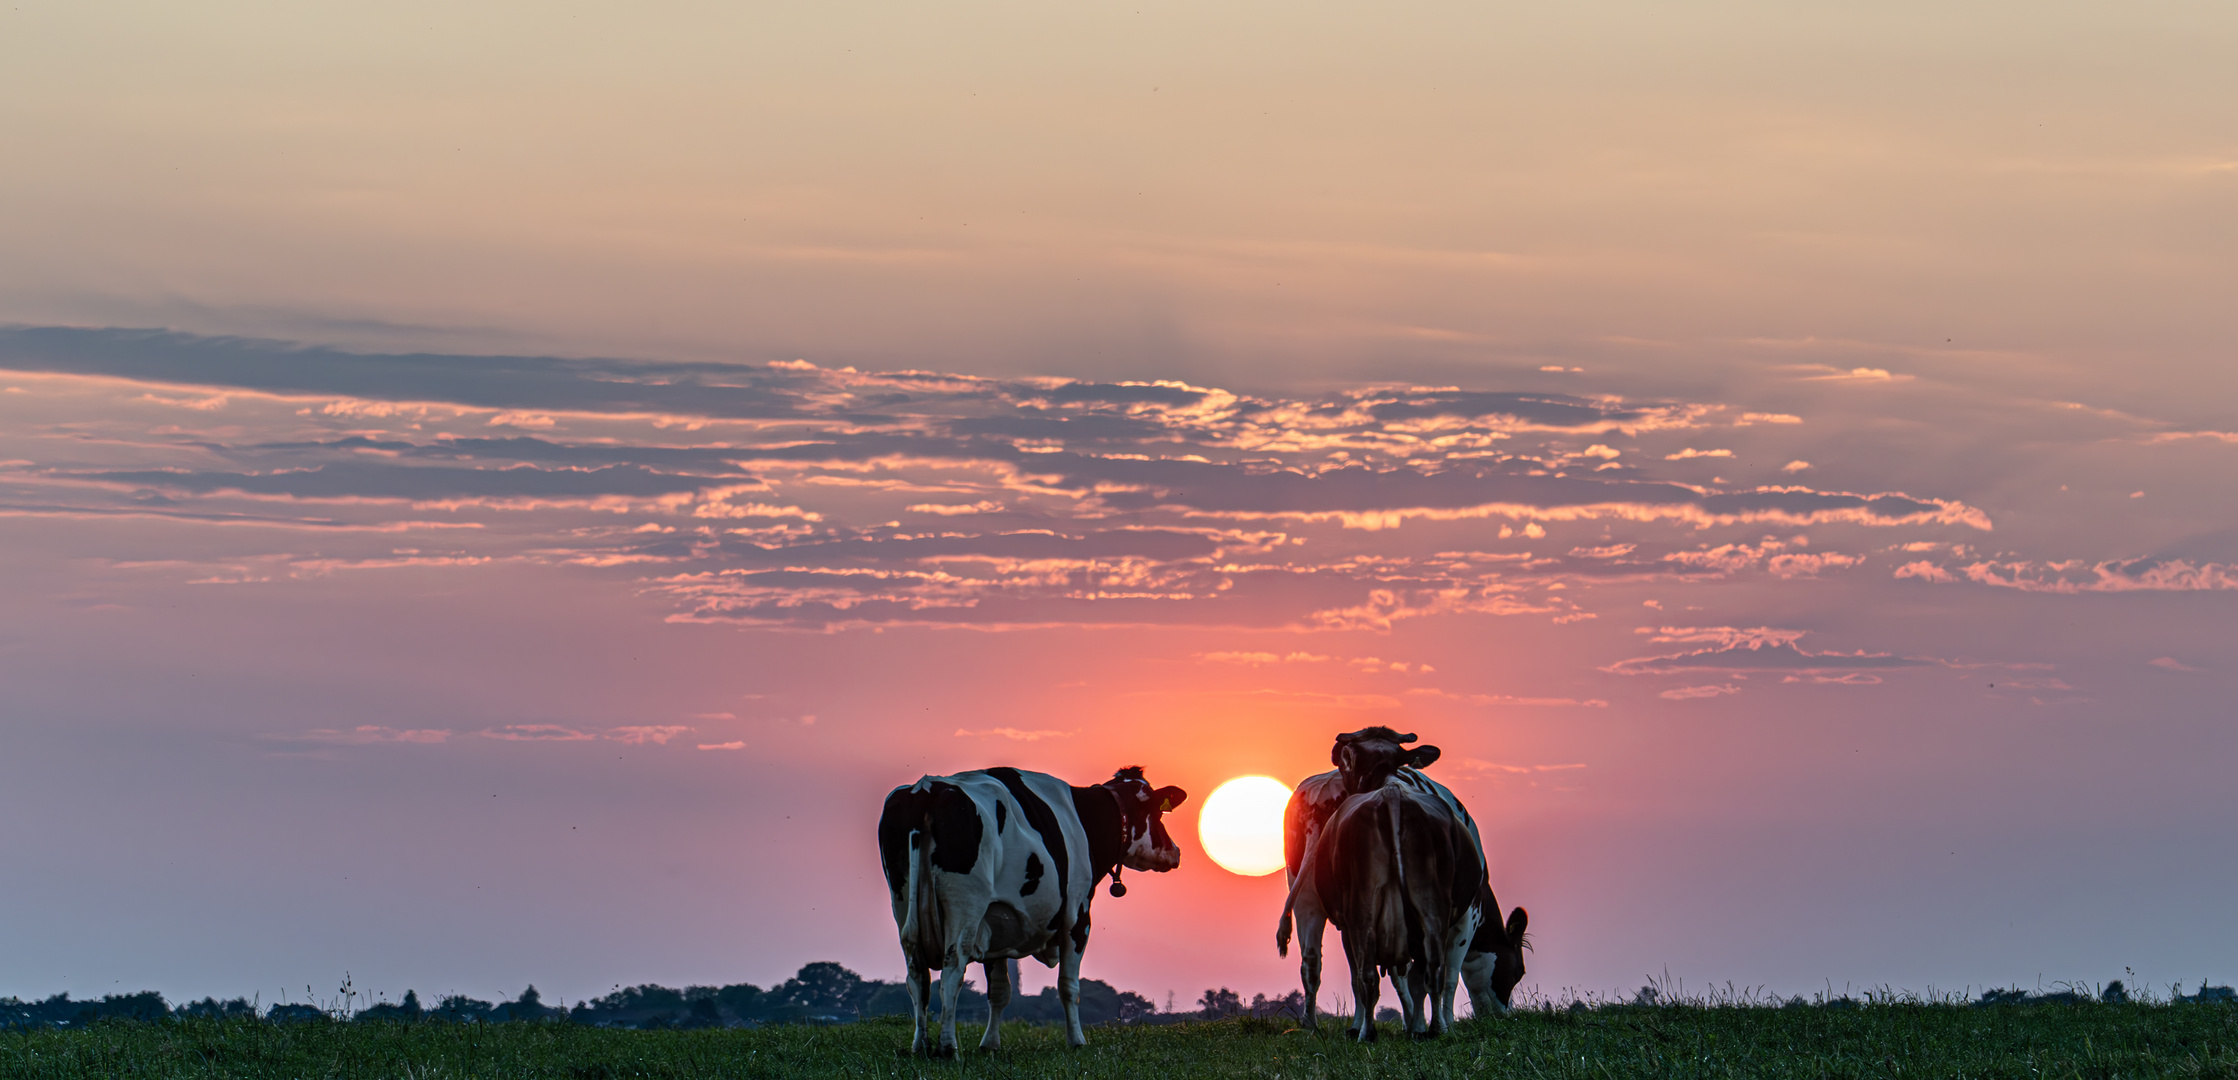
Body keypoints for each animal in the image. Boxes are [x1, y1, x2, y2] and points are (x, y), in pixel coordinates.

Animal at [872, 769, 1190, 1055]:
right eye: (1158, 813)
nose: (1175, 852)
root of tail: (926, 789)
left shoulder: (995, 923)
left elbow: (999, 991)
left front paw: (990, 1045)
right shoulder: (1077, 917)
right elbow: (1068, 986)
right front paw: (1077, 1041)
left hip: (903, 903)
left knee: (917, 975)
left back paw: (920, 1045)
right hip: (965, 905)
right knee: (952, 969)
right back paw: (948, 1047)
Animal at [1280, 733, 1539, 1037]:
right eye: (1518, 971)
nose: (1502, 1017)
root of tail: (1325, 790)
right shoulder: (1465, 918)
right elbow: (1447, 975)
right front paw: (1441, 1023)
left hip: (1311, 896)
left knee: (1315, 961)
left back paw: (1314, 1025)